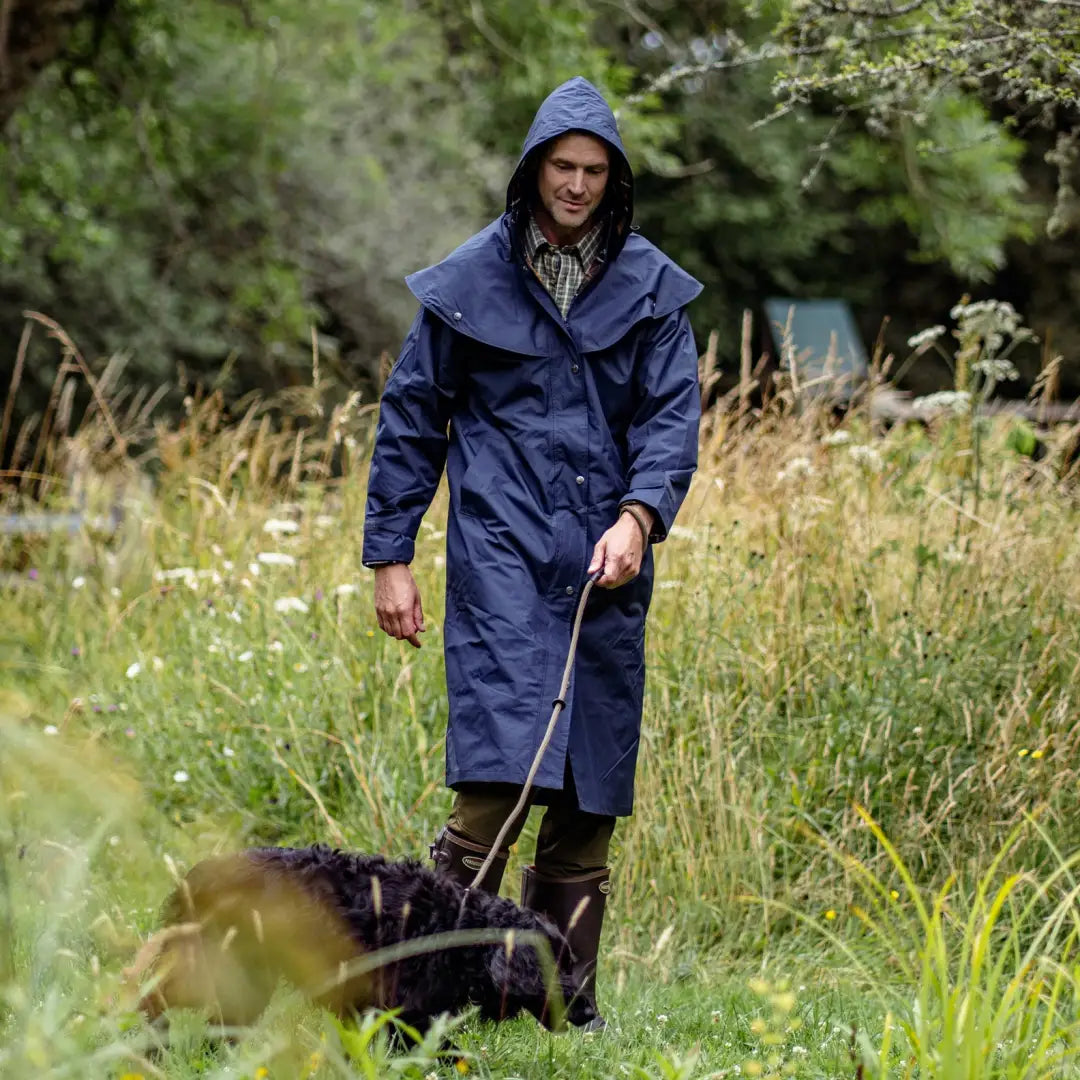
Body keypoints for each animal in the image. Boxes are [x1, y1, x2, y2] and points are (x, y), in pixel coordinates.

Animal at [128, 842, 600, 1028]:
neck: (456, 927)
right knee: (155, 1001)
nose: (591, 1013)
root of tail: (201, 876)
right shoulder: (400, 1012)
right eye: (557, 968)